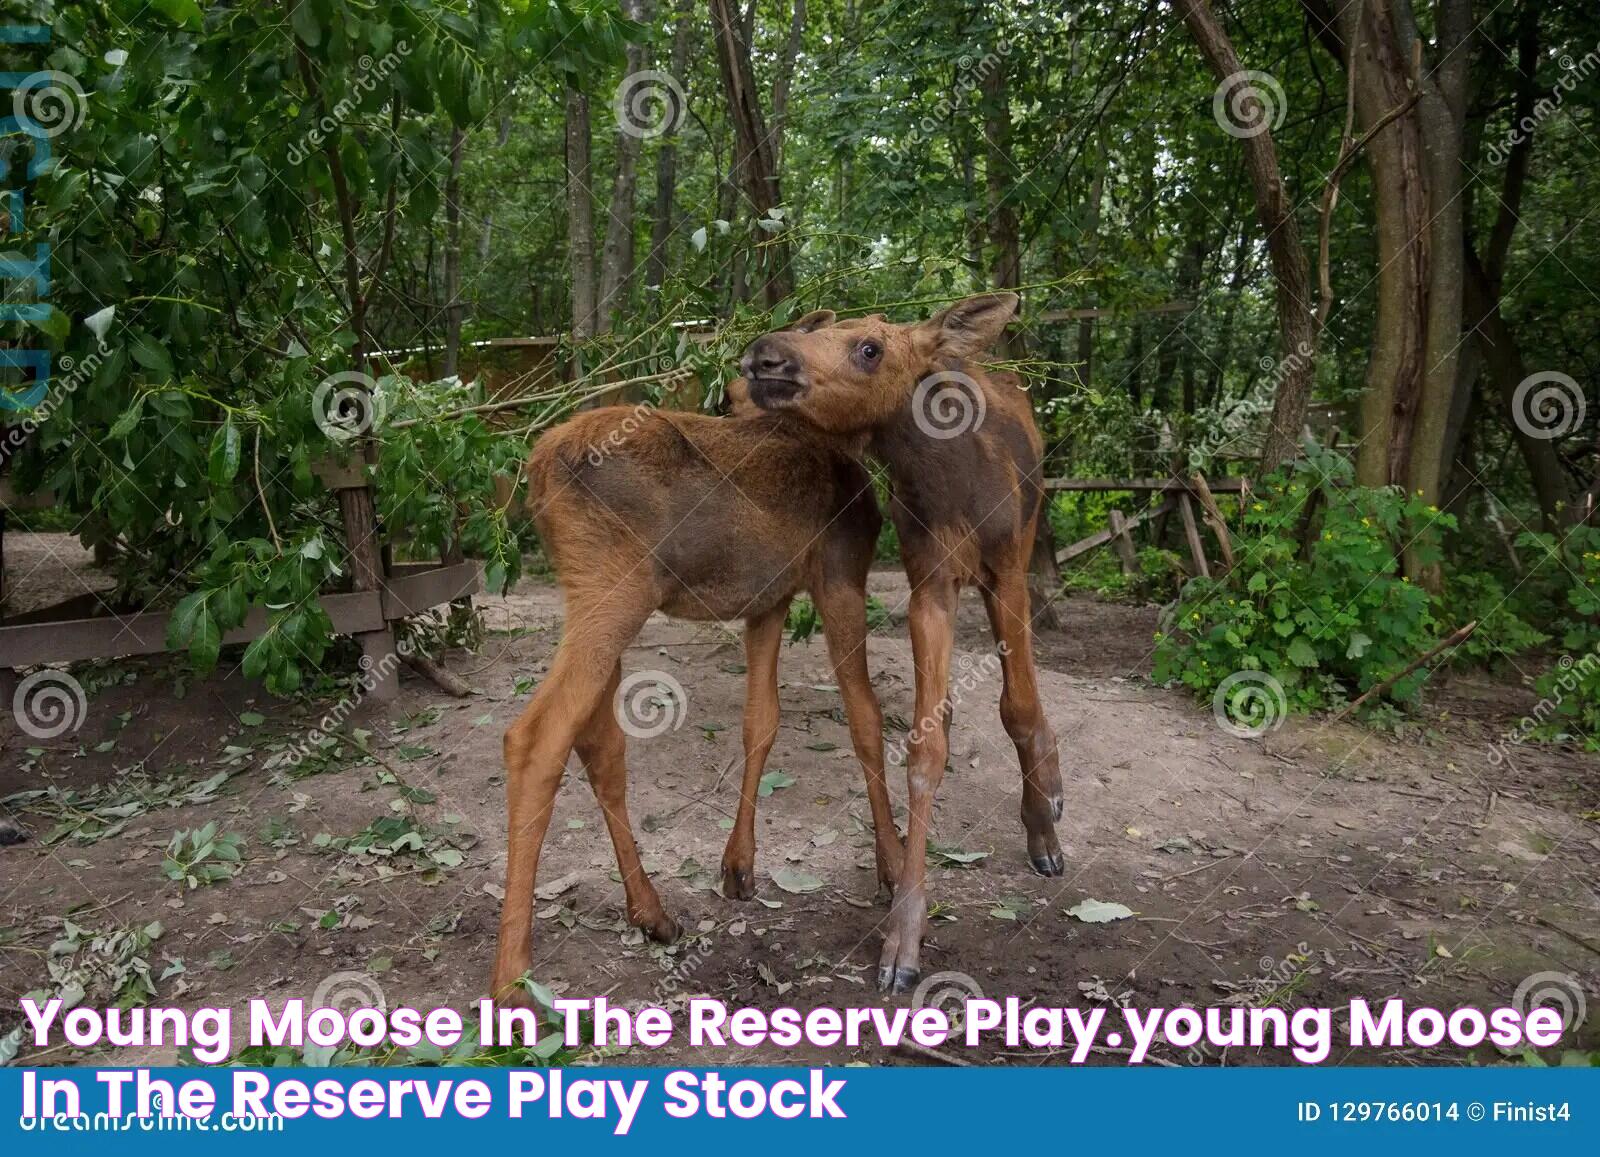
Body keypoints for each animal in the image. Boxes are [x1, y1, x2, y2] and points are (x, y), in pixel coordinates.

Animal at [486, 368, 902, 1004]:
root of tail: (539, 468)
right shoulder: (840, 572)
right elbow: (865, 718)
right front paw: (894, 866)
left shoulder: (769, 599)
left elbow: (762, 720)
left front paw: (739, 865)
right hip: (617, 587)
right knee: (536, 737)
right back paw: (512, 977)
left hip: (595, 595)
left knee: (601, 746)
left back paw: (651, 912)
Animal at [742, 294, 1068, 992]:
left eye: (870, 348)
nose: (765, 356)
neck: (945, 480)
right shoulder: (930, 586)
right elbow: (924, 747)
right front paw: (904, 935)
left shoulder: (1008, 572)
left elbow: (1018, 706)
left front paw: (1041, 833)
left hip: (1025, 545)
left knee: (1025, 692)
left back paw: (1050, 793)